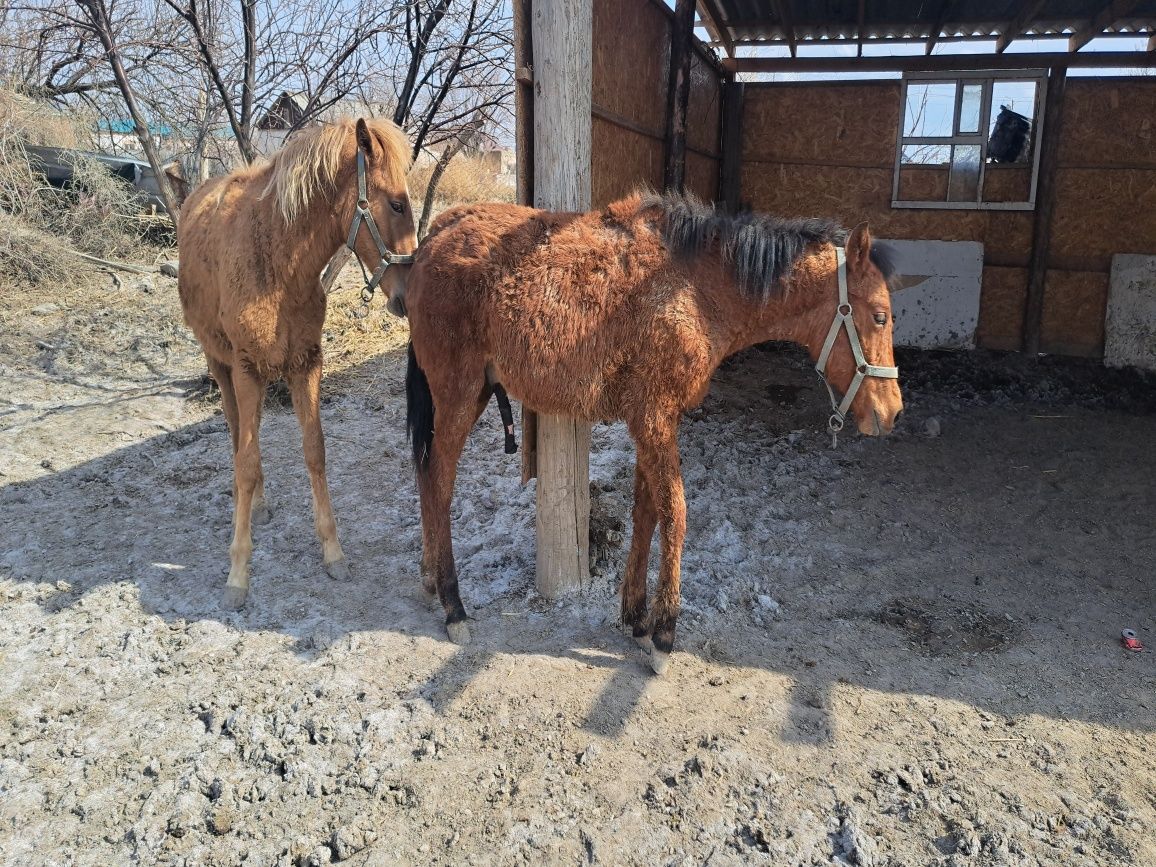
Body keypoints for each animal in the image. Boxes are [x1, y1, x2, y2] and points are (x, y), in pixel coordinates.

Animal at [178, 117, 418, 610]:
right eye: (396, 203)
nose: (409, 294)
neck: (278, 260)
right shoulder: (248, 369)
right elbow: (247, 462)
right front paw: (238, 571)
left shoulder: (305, 365)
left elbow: (315, 451)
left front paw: (332, 550)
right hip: (221, 365)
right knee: (237, 435)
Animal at [406, 193, 901, 675]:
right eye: (879, 317)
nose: (891, 412)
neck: (696, 289)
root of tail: (437, 235)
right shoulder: (654, 417)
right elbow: (675, 514)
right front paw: (664, 633)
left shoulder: (654, 420)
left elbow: (647, 511)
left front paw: (637, 618)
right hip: (459, 394)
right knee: (439, 481)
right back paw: (453, 606)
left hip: (475, 393)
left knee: (427, 476)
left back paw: (430, 582)